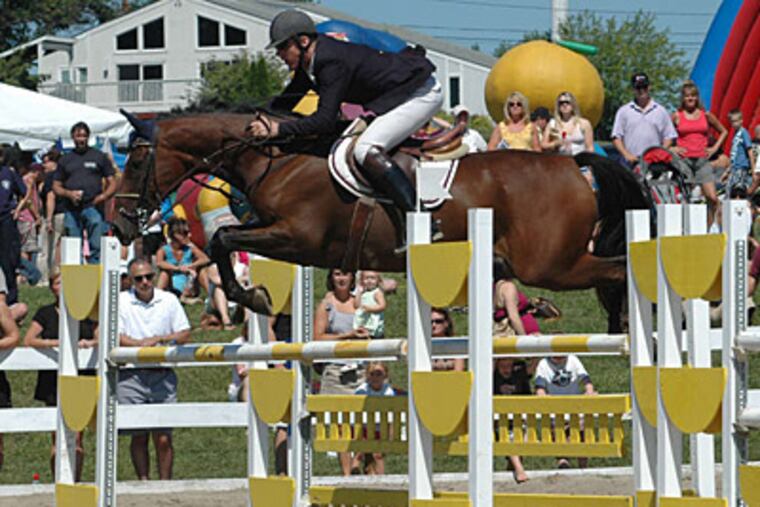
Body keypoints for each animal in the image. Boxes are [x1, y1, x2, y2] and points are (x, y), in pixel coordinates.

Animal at [111, 111, 651, 332]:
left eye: (135, 161)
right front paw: (256, 296)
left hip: (551, 265)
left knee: (618, 269)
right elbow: (225, 242)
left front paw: (253, 297)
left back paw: (629, 326)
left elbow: (223, 237)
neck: (276, 160)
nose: (117, 226)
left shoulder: (296, 238)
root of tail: (574, 164)